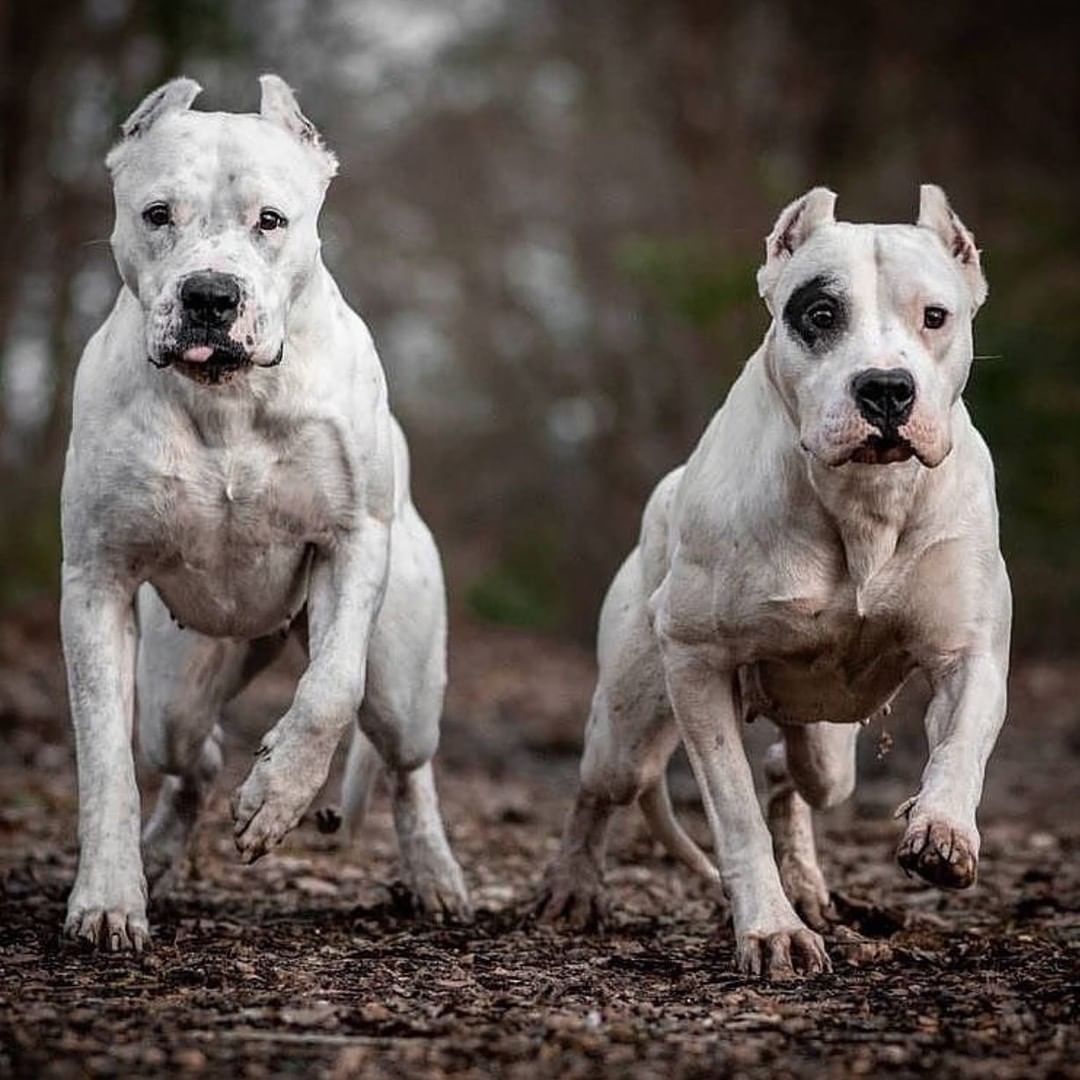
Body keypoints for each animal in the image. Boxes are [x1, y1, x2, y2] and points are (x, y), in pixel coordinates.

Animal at [60, 78, 473, 954]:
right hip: (177, 685)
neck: (230, 400)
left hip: (407, 686)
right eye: (157, 214)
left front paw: (279, 792)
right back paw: (159, 851)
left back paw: (434, 875)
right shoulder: (96, 582)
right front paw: (108, 897)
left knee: (406, 763)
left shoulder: (352, 543)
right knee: (192, 755)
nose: (210, 295)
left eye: (271, 220)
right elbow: (105, 757)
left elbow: (331, 690)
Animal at [540, 185, 1010, 980]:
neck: (860, 504)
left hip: (828, 748)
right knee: (601, 787)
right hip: (629, 729)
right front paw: (771, 929)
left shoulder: (968, 651)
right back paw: (576, 888)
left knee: (795, 773)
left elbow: (962, 743)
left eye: (935, 317)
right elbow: (734, 813)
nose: (886, 389)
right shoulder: (697, 665)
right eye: (820, 315)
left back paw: (810, 882)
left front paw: (942, 829)